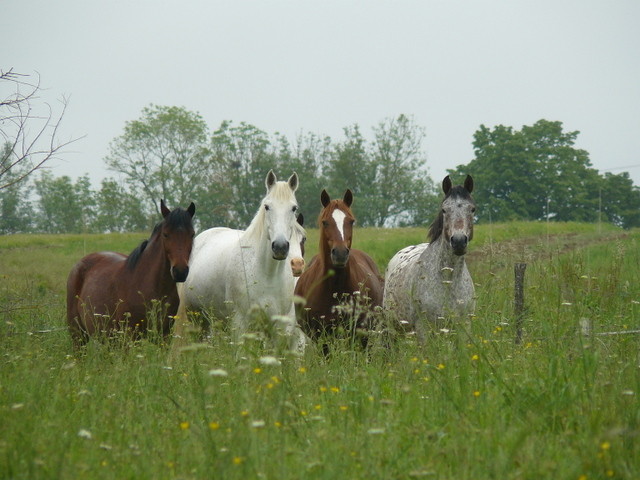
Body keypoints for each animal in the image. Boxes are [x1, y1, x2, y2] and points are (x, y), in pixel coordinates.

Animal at [65, 199, 196, 344]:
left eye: (192, 234)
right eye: (166, 234)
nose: (180, 271)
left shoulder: (164, 335)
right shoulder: (131, 335)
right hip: (78, 334)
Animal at [172, 171, 308, 350]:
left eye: (293, 208)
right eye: (267, 207)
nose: (280, 247)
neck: (267, 274)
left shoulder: (278, 328)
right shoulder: (240, 324)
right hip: (197, 319)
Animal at [296, 189, 384, 346]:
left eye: (351, 221)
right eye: (325, 222)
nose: (340, 253)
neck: (335, 287)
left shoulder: (357, 333)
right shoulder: (321, 337)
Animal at [380, 174, 476, 344]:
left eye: (472, 209)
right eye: (444, 209)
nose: (458, 242)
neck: (448, 281)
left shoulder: (463, 327)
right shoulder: (423, 329)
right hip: (394, 330)